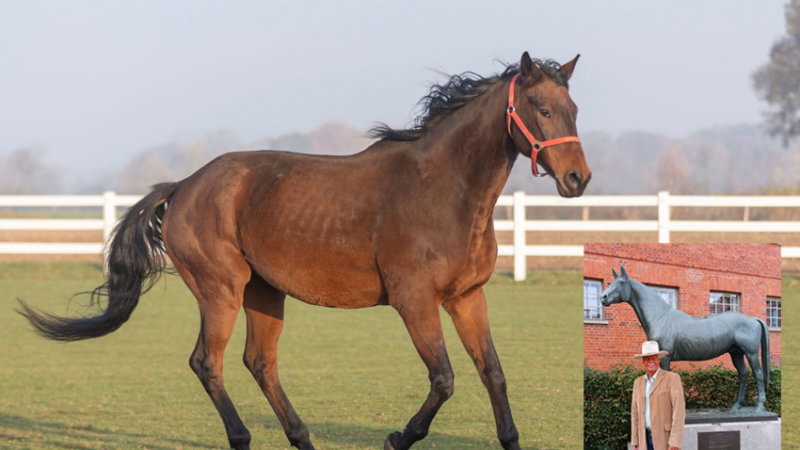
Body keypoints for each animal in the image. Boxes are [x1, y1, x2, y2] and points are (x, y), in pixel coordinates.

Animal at [17, 53, 592, 450]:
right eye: (542, 109)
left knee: (259, 362)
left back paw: (301, 437)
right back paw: (242, 438)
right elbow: (445, 379)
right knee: (208, 362)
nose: (577, 179)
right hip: (220, 291)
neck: (444, 191)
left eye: (574, 109)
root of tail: (183, 186)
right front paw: (396, 438)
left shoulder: (467, 297)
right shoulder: (415, 302)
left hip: (264, 293)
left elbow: (492, 372)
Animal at [600, 268, 768, 412]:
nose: (603, 297)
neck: (661, 317)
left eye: (621, 282)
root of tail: (753, 319)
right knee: (743, 373)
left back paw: (759, 407)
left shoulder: (664, 358)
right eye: (610, 283)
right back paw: (737, 406)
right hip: (736, 353)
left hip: (751, 353)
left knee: (758, 374)